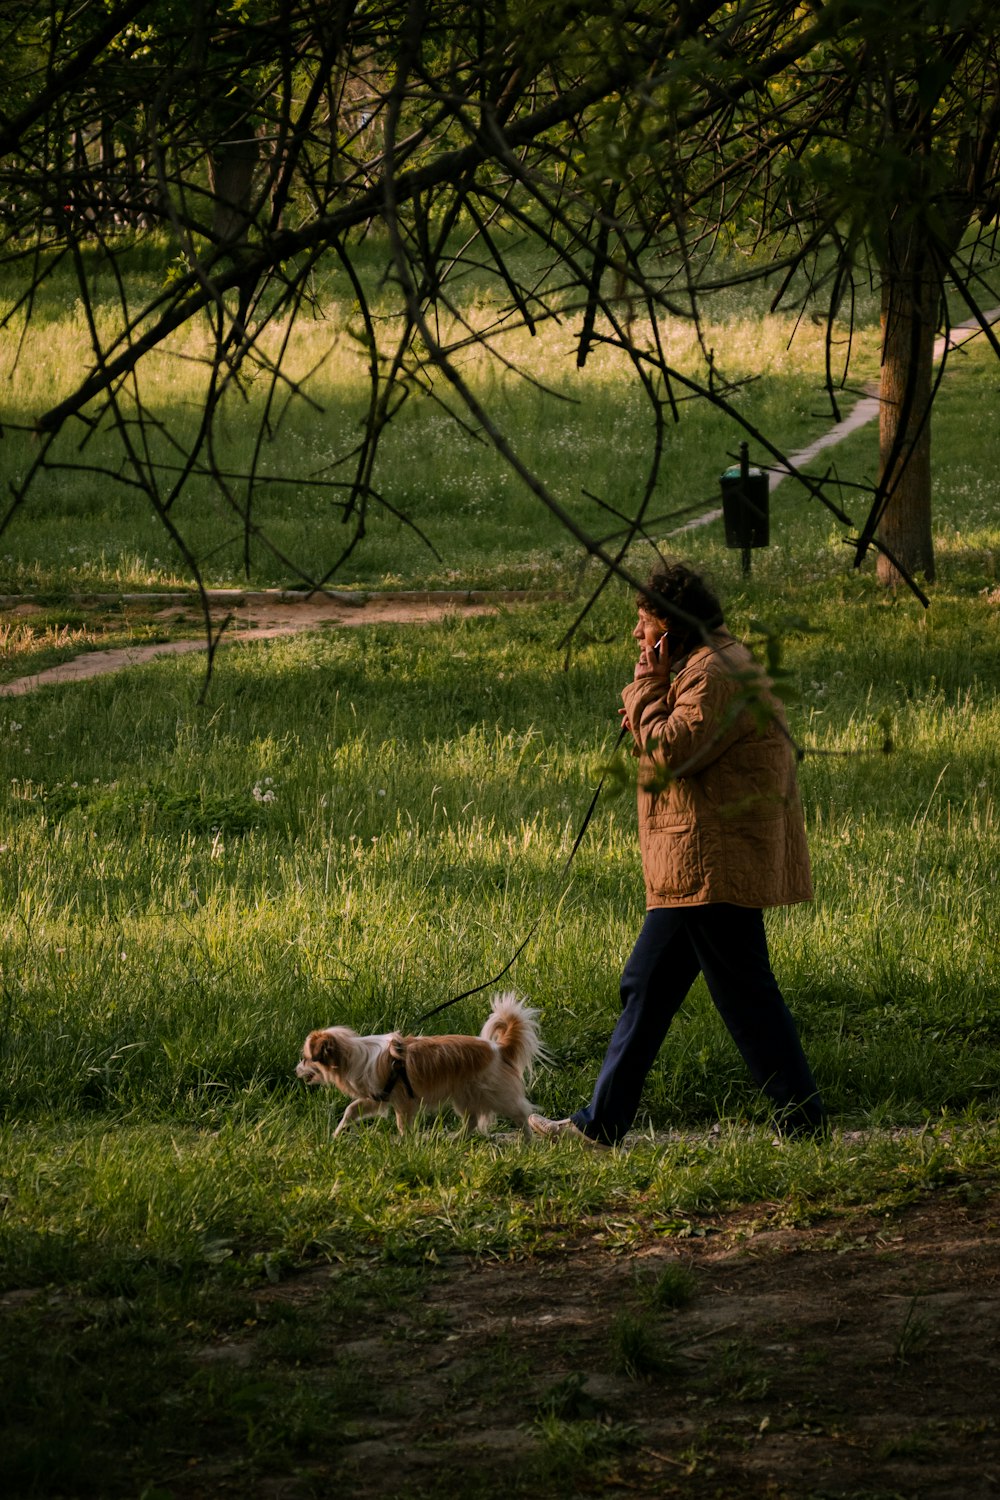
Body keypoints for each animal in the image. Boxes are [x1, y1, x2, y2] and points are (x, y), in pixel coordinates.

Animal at [296, 996, 548, 1134]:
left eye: (306, 1058)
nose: (296, 1069)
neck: (354, 1054)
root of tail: (498, 1049)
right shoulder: (376, 1098)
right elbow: (351, 1110)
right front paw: (336, 1135)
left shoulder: (402, 1102)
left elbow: (401, 1125)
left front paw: (406, 1145)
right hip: (464, 1096)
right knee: (472, 1121)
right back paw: (456, 1141)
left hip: (496, 1094)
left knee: (521, 1113)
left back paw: (527, 1142)